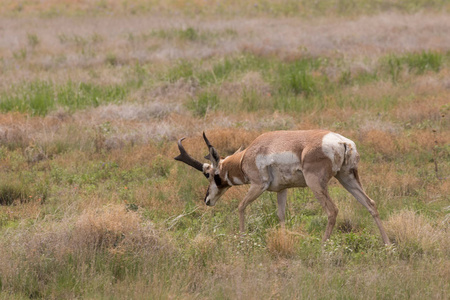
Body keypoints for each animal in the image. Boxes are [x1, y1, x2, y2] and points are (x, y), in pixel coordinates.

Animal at [174, 130, 392, 245]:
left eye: (209, 174)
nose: (207, 200)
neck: (247, 156)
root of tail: (342, 142)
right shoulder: (282, 190)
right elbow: (281, 215)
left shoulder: (258, 186)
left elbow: (241, 206)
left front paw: (243, 239)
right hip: (347, 178)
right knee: (371, 204)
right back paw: (387, 244)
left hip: (316, 184)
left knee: (332, 210)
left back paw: (323, 245)